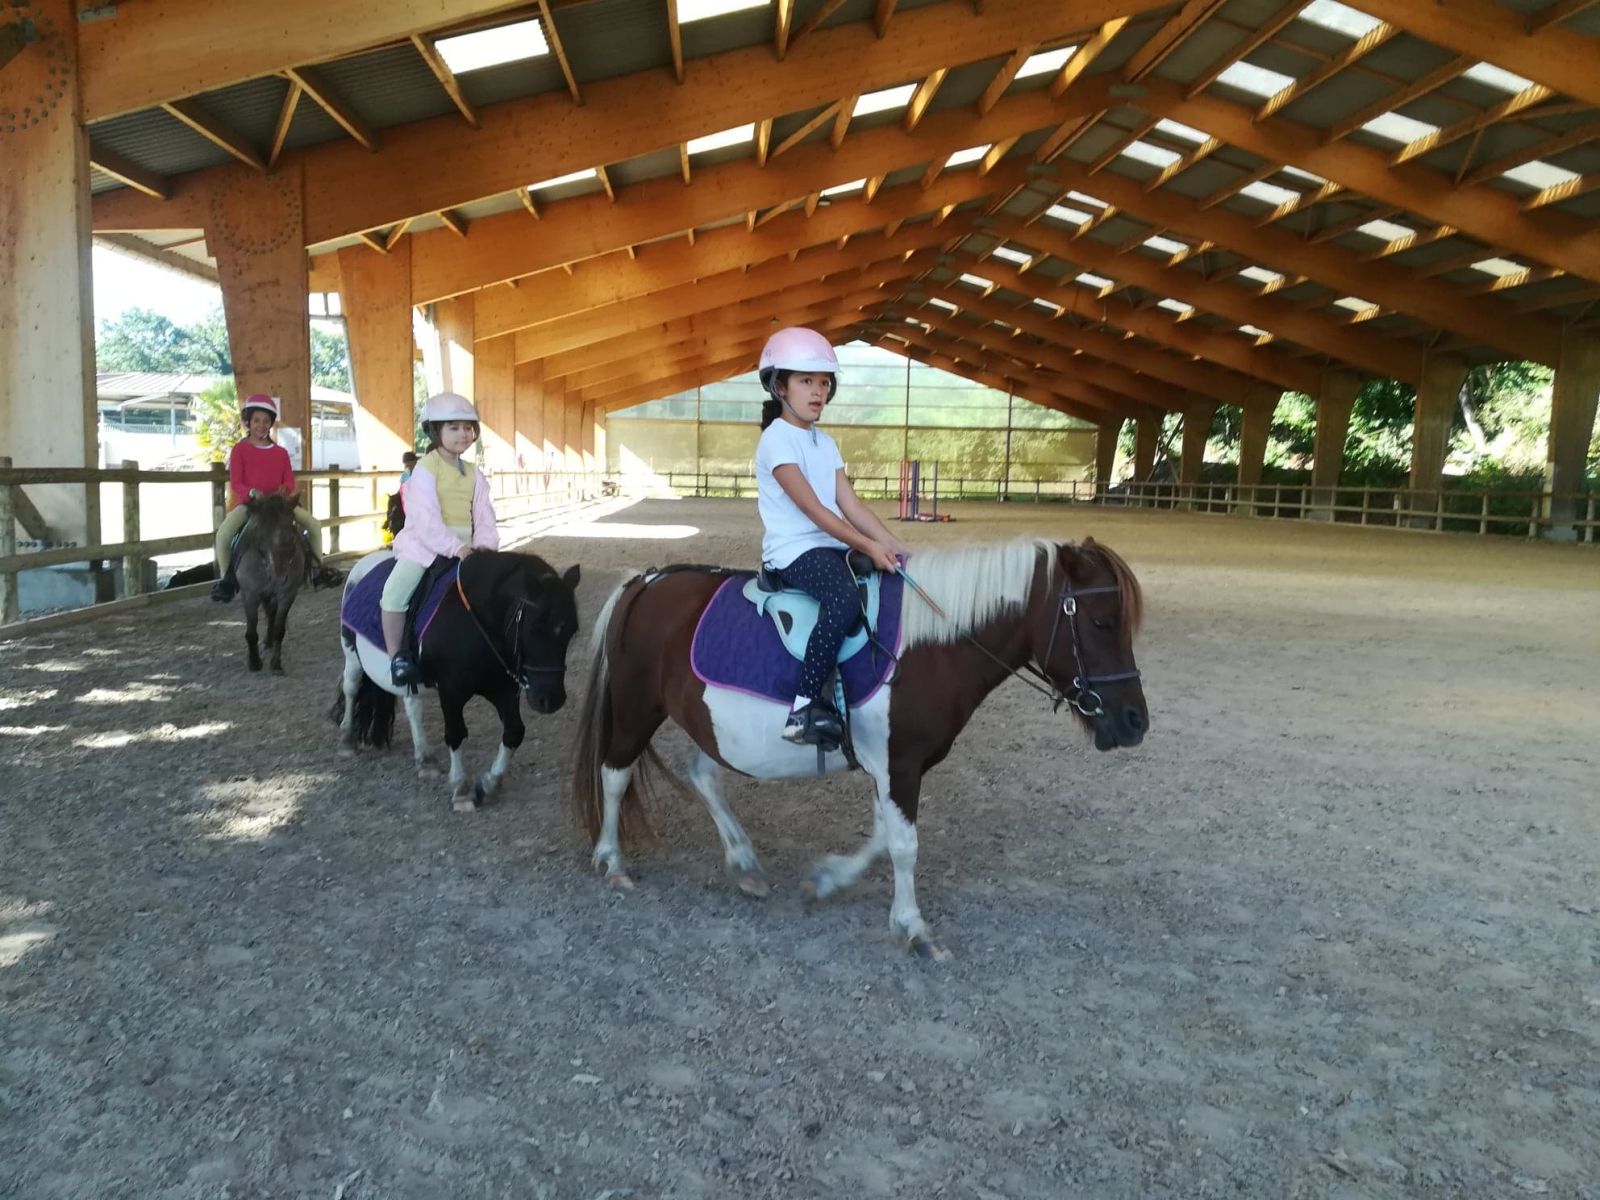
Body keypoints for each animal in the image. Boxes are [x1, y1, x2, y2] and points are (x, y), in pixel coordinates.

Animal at [569, 540, 1145, 966]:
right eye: (1101, 623)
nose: (1135, 722)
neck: (927, 646)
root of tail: (647, 581)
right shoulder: (901, 765)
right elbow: (904, 845)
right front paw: (915, 930)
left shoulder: (889, 767)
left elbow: (883, 836)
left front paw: (826, 881)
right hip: (638, 707)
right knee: (615, 774)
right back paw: (612, 860)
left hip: (714, 725)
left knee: (702, 776)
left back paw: (744, 864)